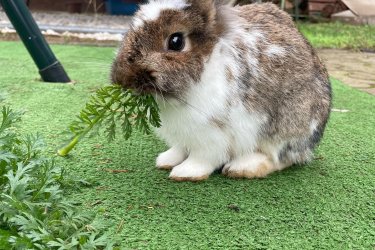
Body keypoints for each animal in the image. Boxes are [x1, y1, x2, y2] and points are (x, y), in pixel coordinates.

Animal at [111, 0, 332, 181]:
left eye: (176, 41)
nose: (123, 79)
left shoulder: (212, 133)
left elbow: (203, 157)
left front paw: (185, 172)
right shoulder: (185, 134)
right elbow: (180, 148)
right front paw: (166, 160)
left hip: (288, 123)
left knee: (280, 158)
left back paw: (241, 167)